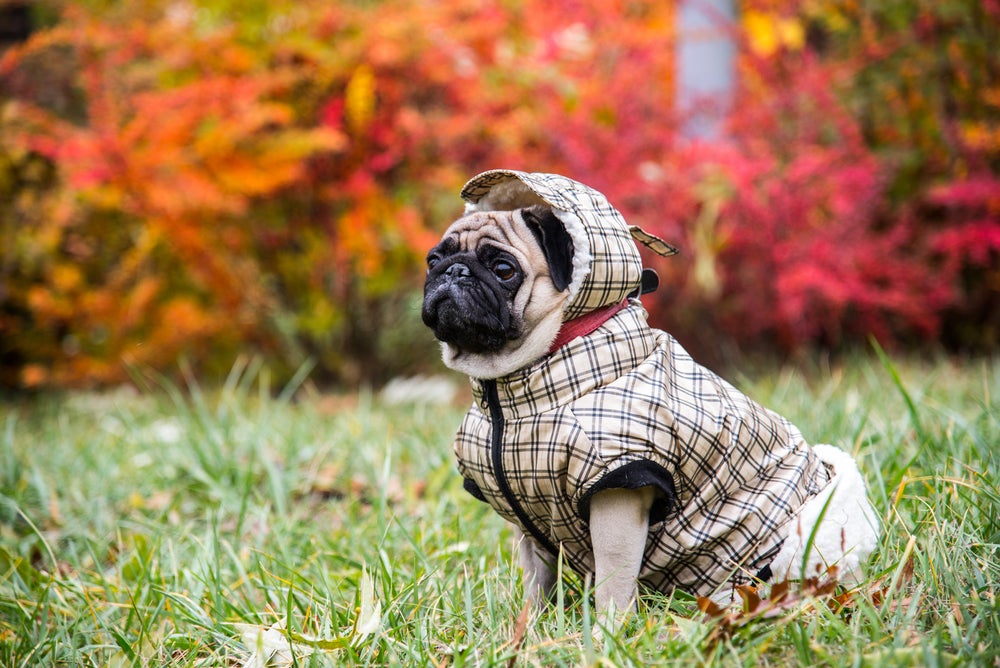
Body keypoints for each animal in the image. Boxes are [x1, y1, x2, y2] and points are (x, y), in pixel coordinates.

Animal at [426, 171, 880, 620]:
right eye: (433, 261)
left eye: (503, 269)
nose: (453, 271)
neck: (508, 393)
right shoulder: (528, 523)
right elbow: (536, 578)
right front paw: (530, 625)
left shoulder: (616, 494)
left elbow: (613, 578)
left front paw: (605, 630)